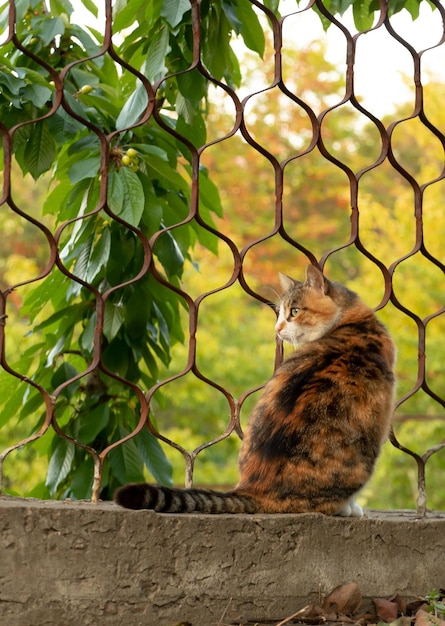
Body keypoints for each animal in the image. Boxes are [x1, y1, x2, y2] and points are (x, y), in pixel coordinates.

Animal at [112, 262, 394, 512]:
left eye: (294, 311)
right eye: (281, 312)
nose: (277, 328)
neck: (350, 320)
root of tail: (254, 488)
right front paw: (354, 509)